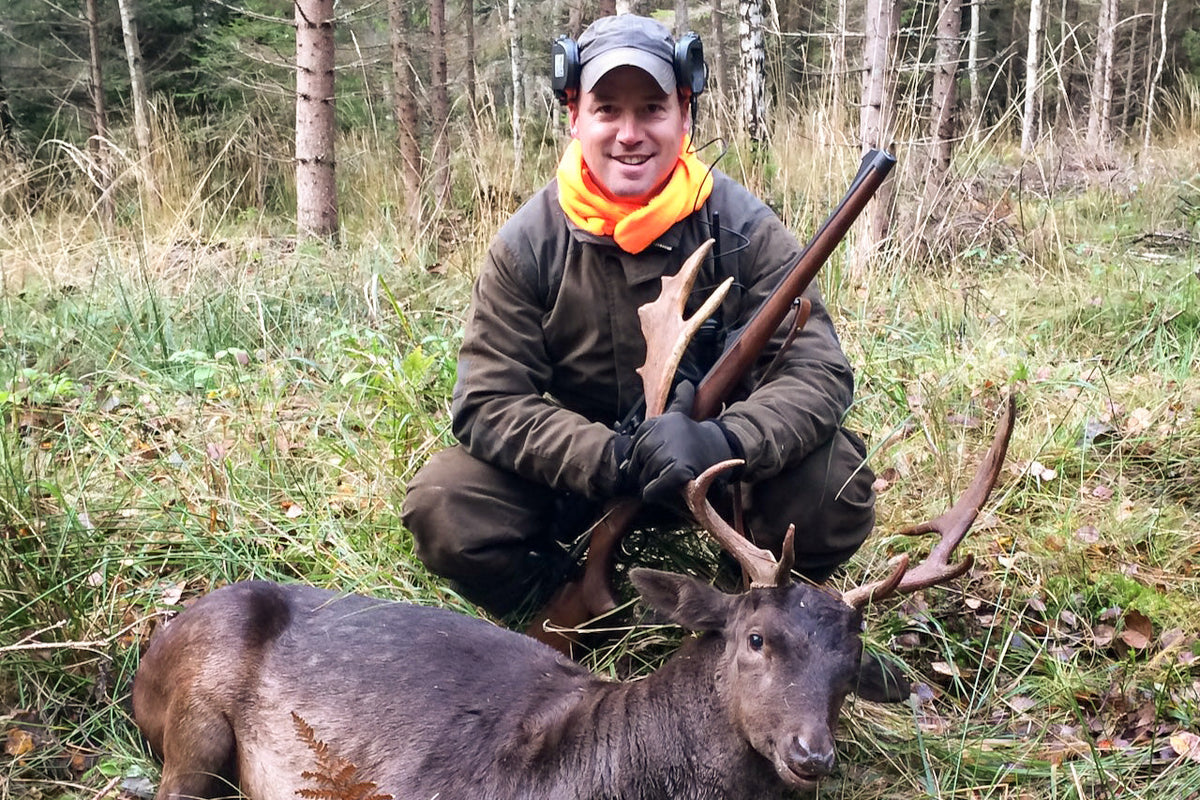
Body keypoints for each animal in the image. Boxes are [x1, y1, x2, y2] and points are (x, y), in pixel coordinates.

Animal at [132, 236, 1016, 800]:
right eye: (757, 639)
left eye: (851, 663)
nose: (812, 754)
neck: (605, 764)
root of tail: (154, 647)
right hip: (196, 722)